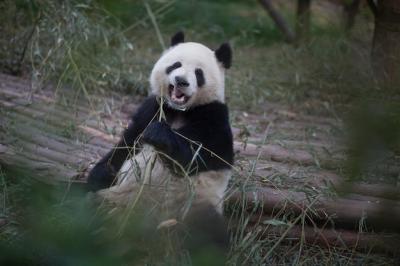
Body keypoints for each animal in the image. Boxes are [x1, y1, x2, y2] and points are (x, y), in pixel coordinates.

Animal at [86, 31, 233, 258]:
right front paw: (98, 175)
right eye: (175, 65)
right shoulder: (151, 109)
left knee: (210, 235)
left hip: (194, 206)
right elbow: (125, 146)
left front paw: (159, 134)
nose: (181, 81)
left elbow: (200, 157)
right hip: (112, 199)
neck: (179, 111)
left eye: (198, 73)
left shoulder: (214, 118)